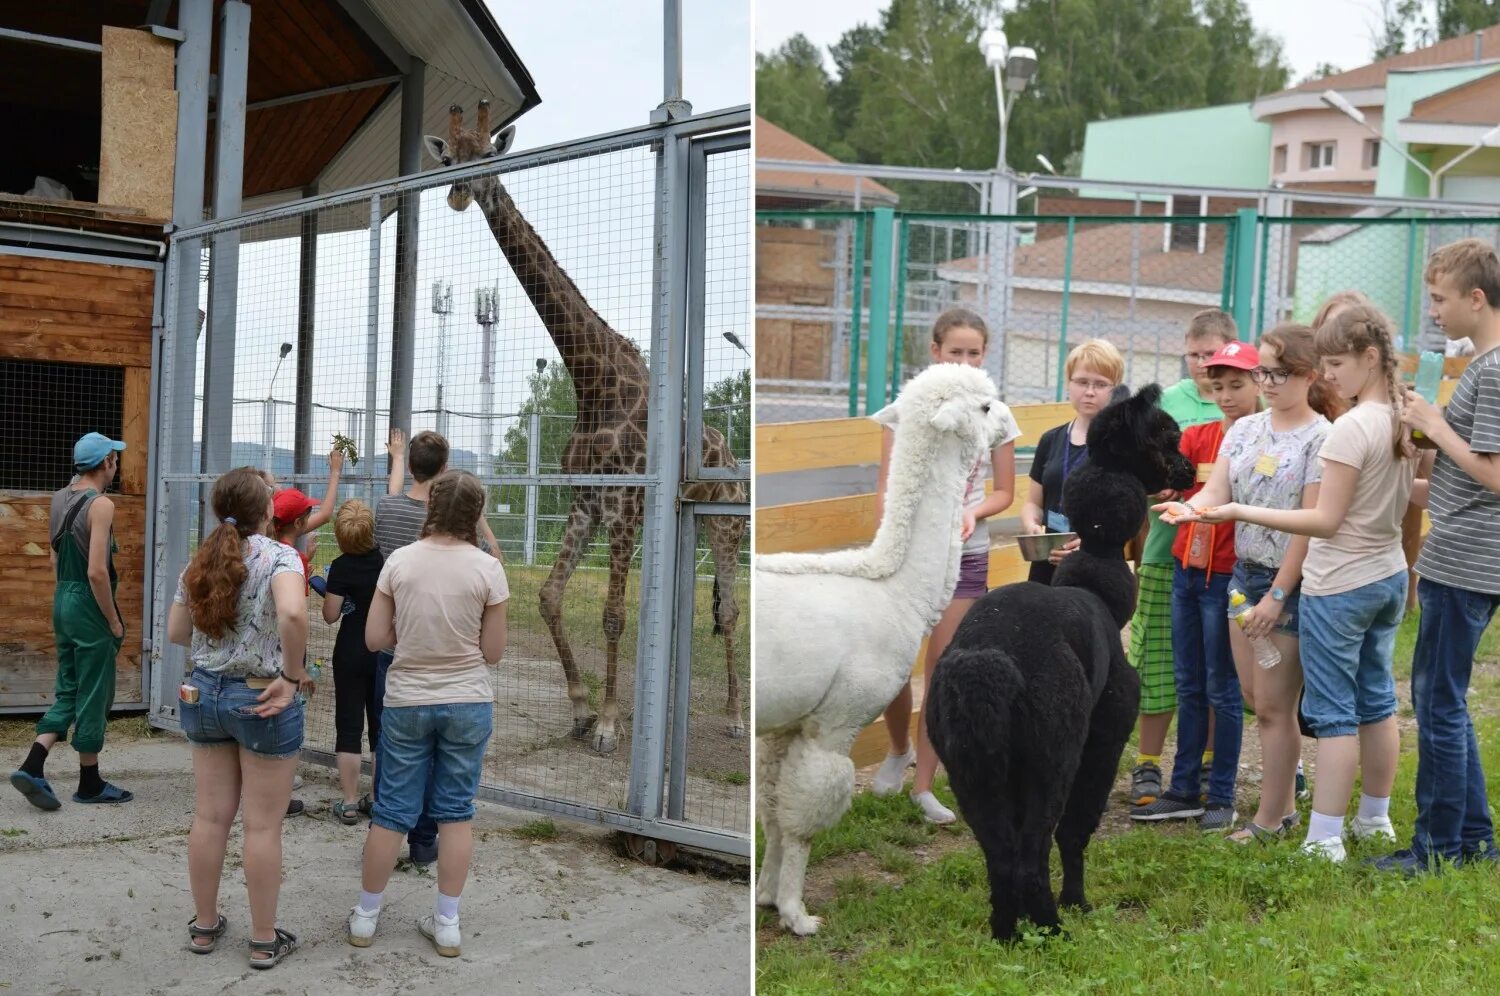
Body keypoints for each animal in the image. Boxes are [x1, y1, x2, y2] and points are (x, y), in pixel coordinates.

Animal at [426, 102, 747, 756]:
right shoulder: (585, 504)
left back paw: (732, 715)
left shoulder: (622, 506)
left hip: (726, 525)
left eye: (488, 155)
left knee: (729, 611)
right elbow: (551, 596)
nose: (461, 194)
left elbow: (614, 614)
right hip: (687, 528)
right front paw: (580, 707)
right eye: (450, 159)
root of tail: (729, 456)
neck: (591, 380)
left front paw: (607, 724)